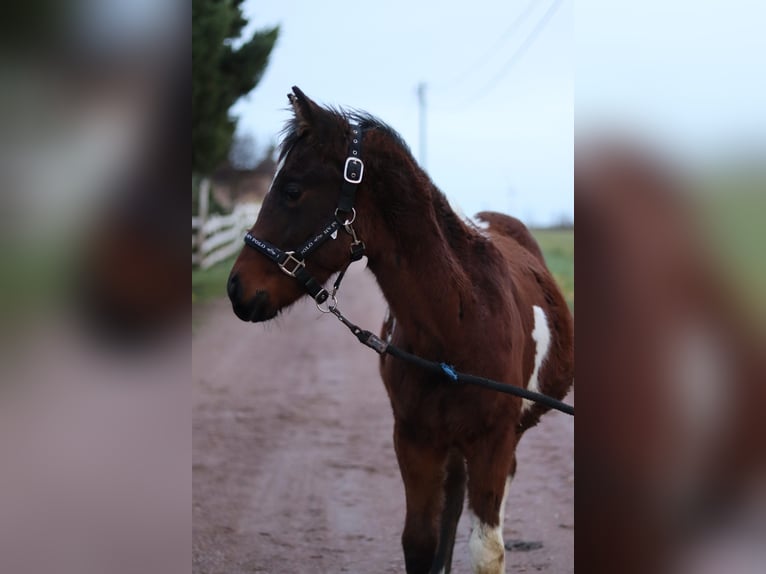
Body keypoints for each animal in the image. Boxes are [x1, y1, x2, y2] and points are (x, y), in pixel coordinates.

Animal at [230, 88, 576, 572]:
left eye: (292, 190)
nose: (236, 288)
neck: (457, 329)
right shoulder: (414, 439)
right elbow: (420, 541)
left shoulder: (493, 441)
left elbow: (486, 549)